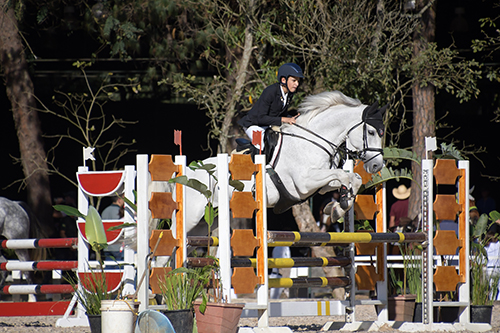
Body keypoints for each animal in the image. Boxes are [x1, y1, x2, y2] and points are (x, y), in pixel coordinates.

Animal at [181, 89, 386, 235]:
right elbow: (342, 174)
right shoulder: (305, 183)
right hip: (191, 217)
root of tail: (187, 172)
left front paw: (339, 207)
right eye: (371, 132)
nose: (377, 165)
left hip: (208, 221)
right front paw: (340, 206)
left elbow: (352, 178)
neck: (312, 142)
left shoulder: (320, 184)